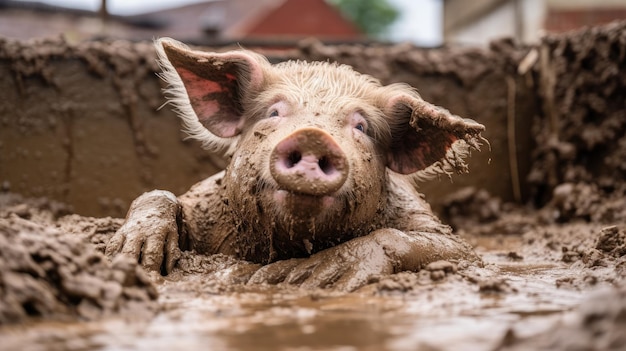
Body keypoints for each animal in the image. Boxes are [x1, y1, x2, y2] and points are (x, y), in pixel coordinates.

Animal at [103, 37, 482, 292]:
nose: (313, 136)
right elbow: (161, 195)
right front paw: (133, 259)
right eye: (273, 112)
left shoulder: (443, 236)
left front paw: (304, 279)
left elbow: (447, 247)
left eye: (361, 127)